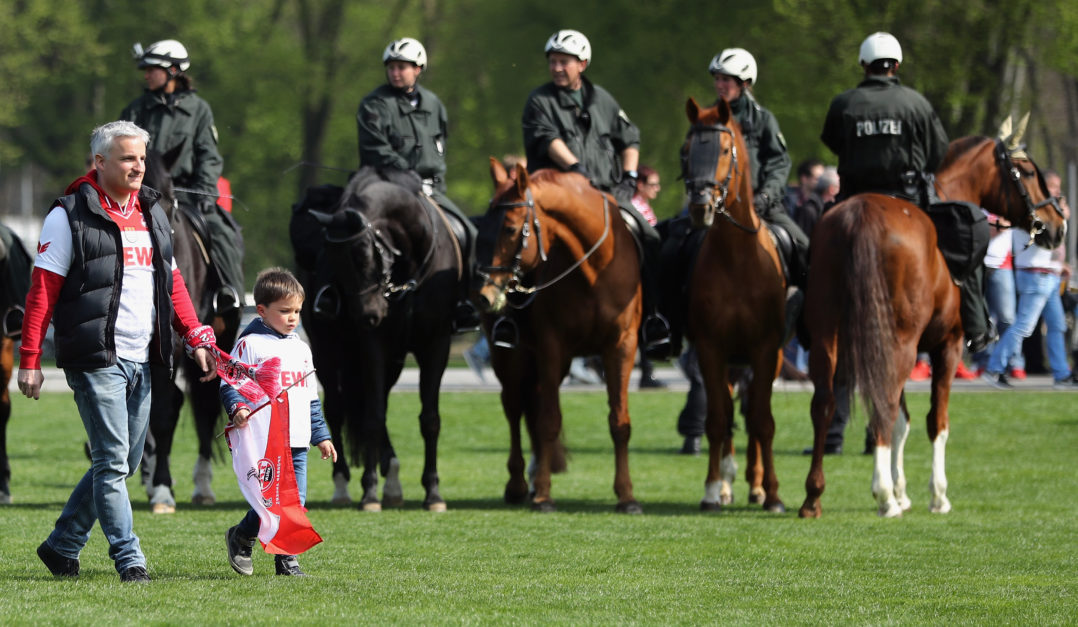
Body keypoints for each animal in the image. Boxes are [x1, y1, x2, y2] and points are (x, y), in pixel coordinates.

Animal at [141, 150, 240, 517]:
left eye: (170, 200)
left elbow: (166, 410)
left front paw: (163, 488)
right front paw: (158, 486)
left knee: (206, 406)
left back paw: (202, 485)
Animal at [293, 169, 465, 512]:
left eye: (363, 255)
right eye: (330, 260)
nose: (367, 316)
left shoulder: (436, 344)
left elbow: (429, 419)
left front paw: (433, 492)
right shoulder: (374, 344)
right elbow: (372, 417)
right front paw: (370, 491)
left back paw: (393, 479)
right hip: (328, 351)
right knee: (335, 408)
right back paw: (343, 484)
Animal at [478, 159, 638, 512]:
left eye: (510, 229)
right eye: (482, 228)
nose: (485, 294)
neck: (595, 268)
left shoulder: (621, 347)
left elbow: (619, 422)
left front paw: (627, 496)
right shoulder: (552, 346)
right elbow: (548, 420)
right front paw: (542, 495)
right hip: (511, 359)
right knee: (514, 408)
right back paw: (519, 484)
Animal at [802, 120, 1069, 519]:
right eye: (1028, 172)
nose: (1058, 225)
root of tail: (861, 215)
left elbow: (902, 421)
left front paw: (901, 491)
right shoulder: (948, 346)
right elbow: (935, 421)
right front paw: (935, 494)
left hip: (828, 337)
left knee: (825, 404)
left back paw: (813, 495)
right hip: (897, 342)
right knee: (881, 406)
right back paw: (883, 497)